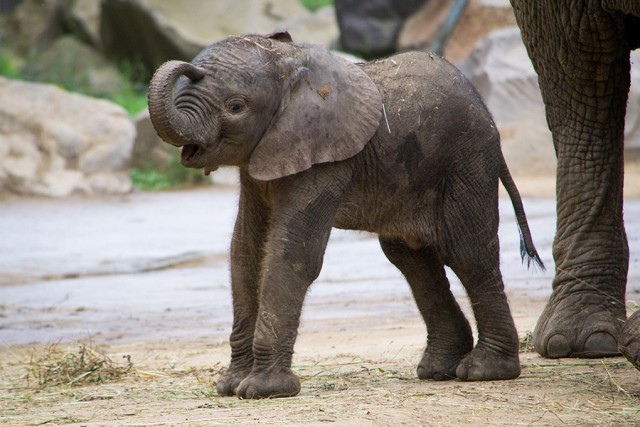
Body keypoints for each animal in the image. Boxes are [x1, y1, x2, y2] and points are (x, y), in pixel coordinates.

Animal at [147, 32, 544, 399]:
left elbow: (292, 254)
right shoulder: (261, 161)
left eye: (235, 106)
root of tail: (488, 116)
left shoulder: (324, 159)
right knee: (411, 259)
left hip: (467, 161)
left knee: (467, 253)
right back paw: (438, 369)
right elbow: (244, 251)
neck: (289, 64)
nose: (186, 67)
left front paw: (262, 391)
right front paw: (230, 387)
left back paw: (485, 371)